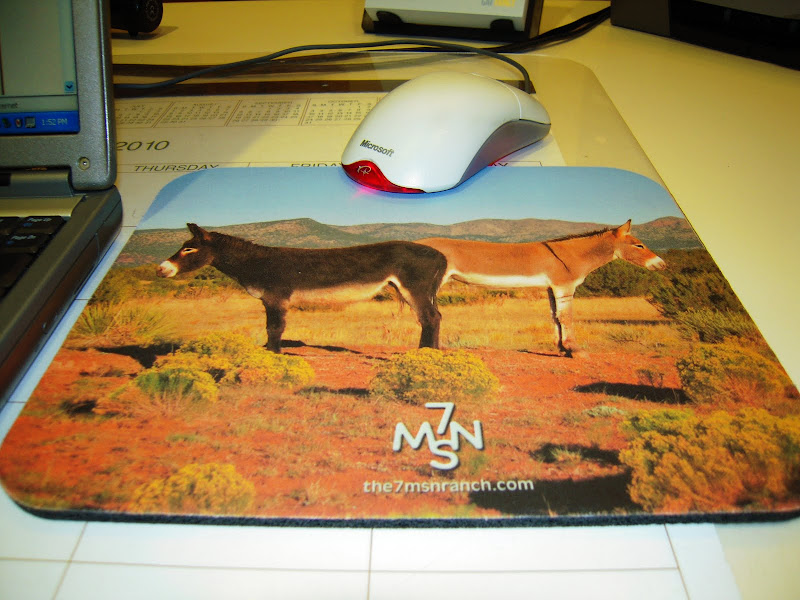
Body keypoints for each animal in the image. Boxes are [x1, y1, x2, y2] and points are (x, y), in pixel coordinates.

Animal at [158, 224, 447, 353]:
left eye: (188, 249)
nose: (161, 269)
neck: (256, 261)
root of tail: (440, 255)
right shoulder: (273, 301)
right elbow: (274, 329)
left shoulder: (275, 299)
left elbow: (274, 328)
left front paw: (274, 355)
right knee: (433, 317)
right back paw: (429, 351)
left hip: (414, 288)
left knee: (429, 318)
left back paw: (425, 353)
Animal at [418, 220, 666, 356]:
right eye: (639, 245)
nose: (662, 264)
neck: (572, 254)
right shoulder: (564, 286)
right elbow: (567, 317)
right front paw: (575, 350)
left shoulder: (551, 288)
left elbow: (555, 317)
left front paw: (562, 348)